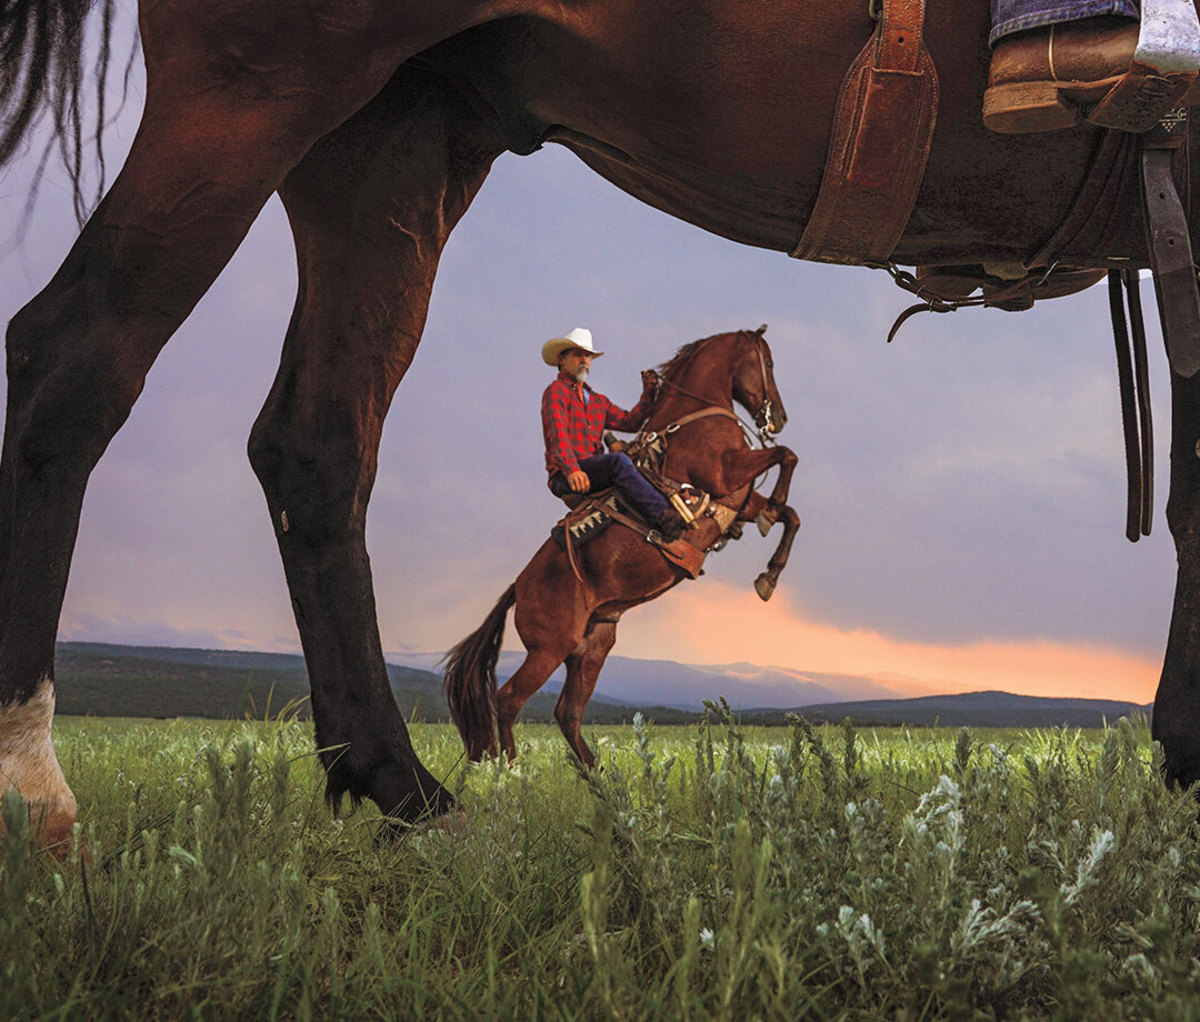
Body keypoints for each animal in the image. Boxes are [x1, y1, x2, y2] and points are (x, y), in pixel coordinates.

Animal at [441, 326, 796, 767]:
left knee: (568, 712)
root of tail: (518, 588)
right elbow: (786, 457)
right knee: (508, 701)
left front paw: (769, 576)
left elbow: (791, 515)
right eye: (769, 363)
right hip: (549, 649)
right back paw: (514, 770)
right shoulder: (724, 474)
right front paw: (776, 503)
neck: (692, 419)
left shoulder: (738, 502)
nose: (779, 418)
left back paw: (597, 773)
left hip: (592, 647)